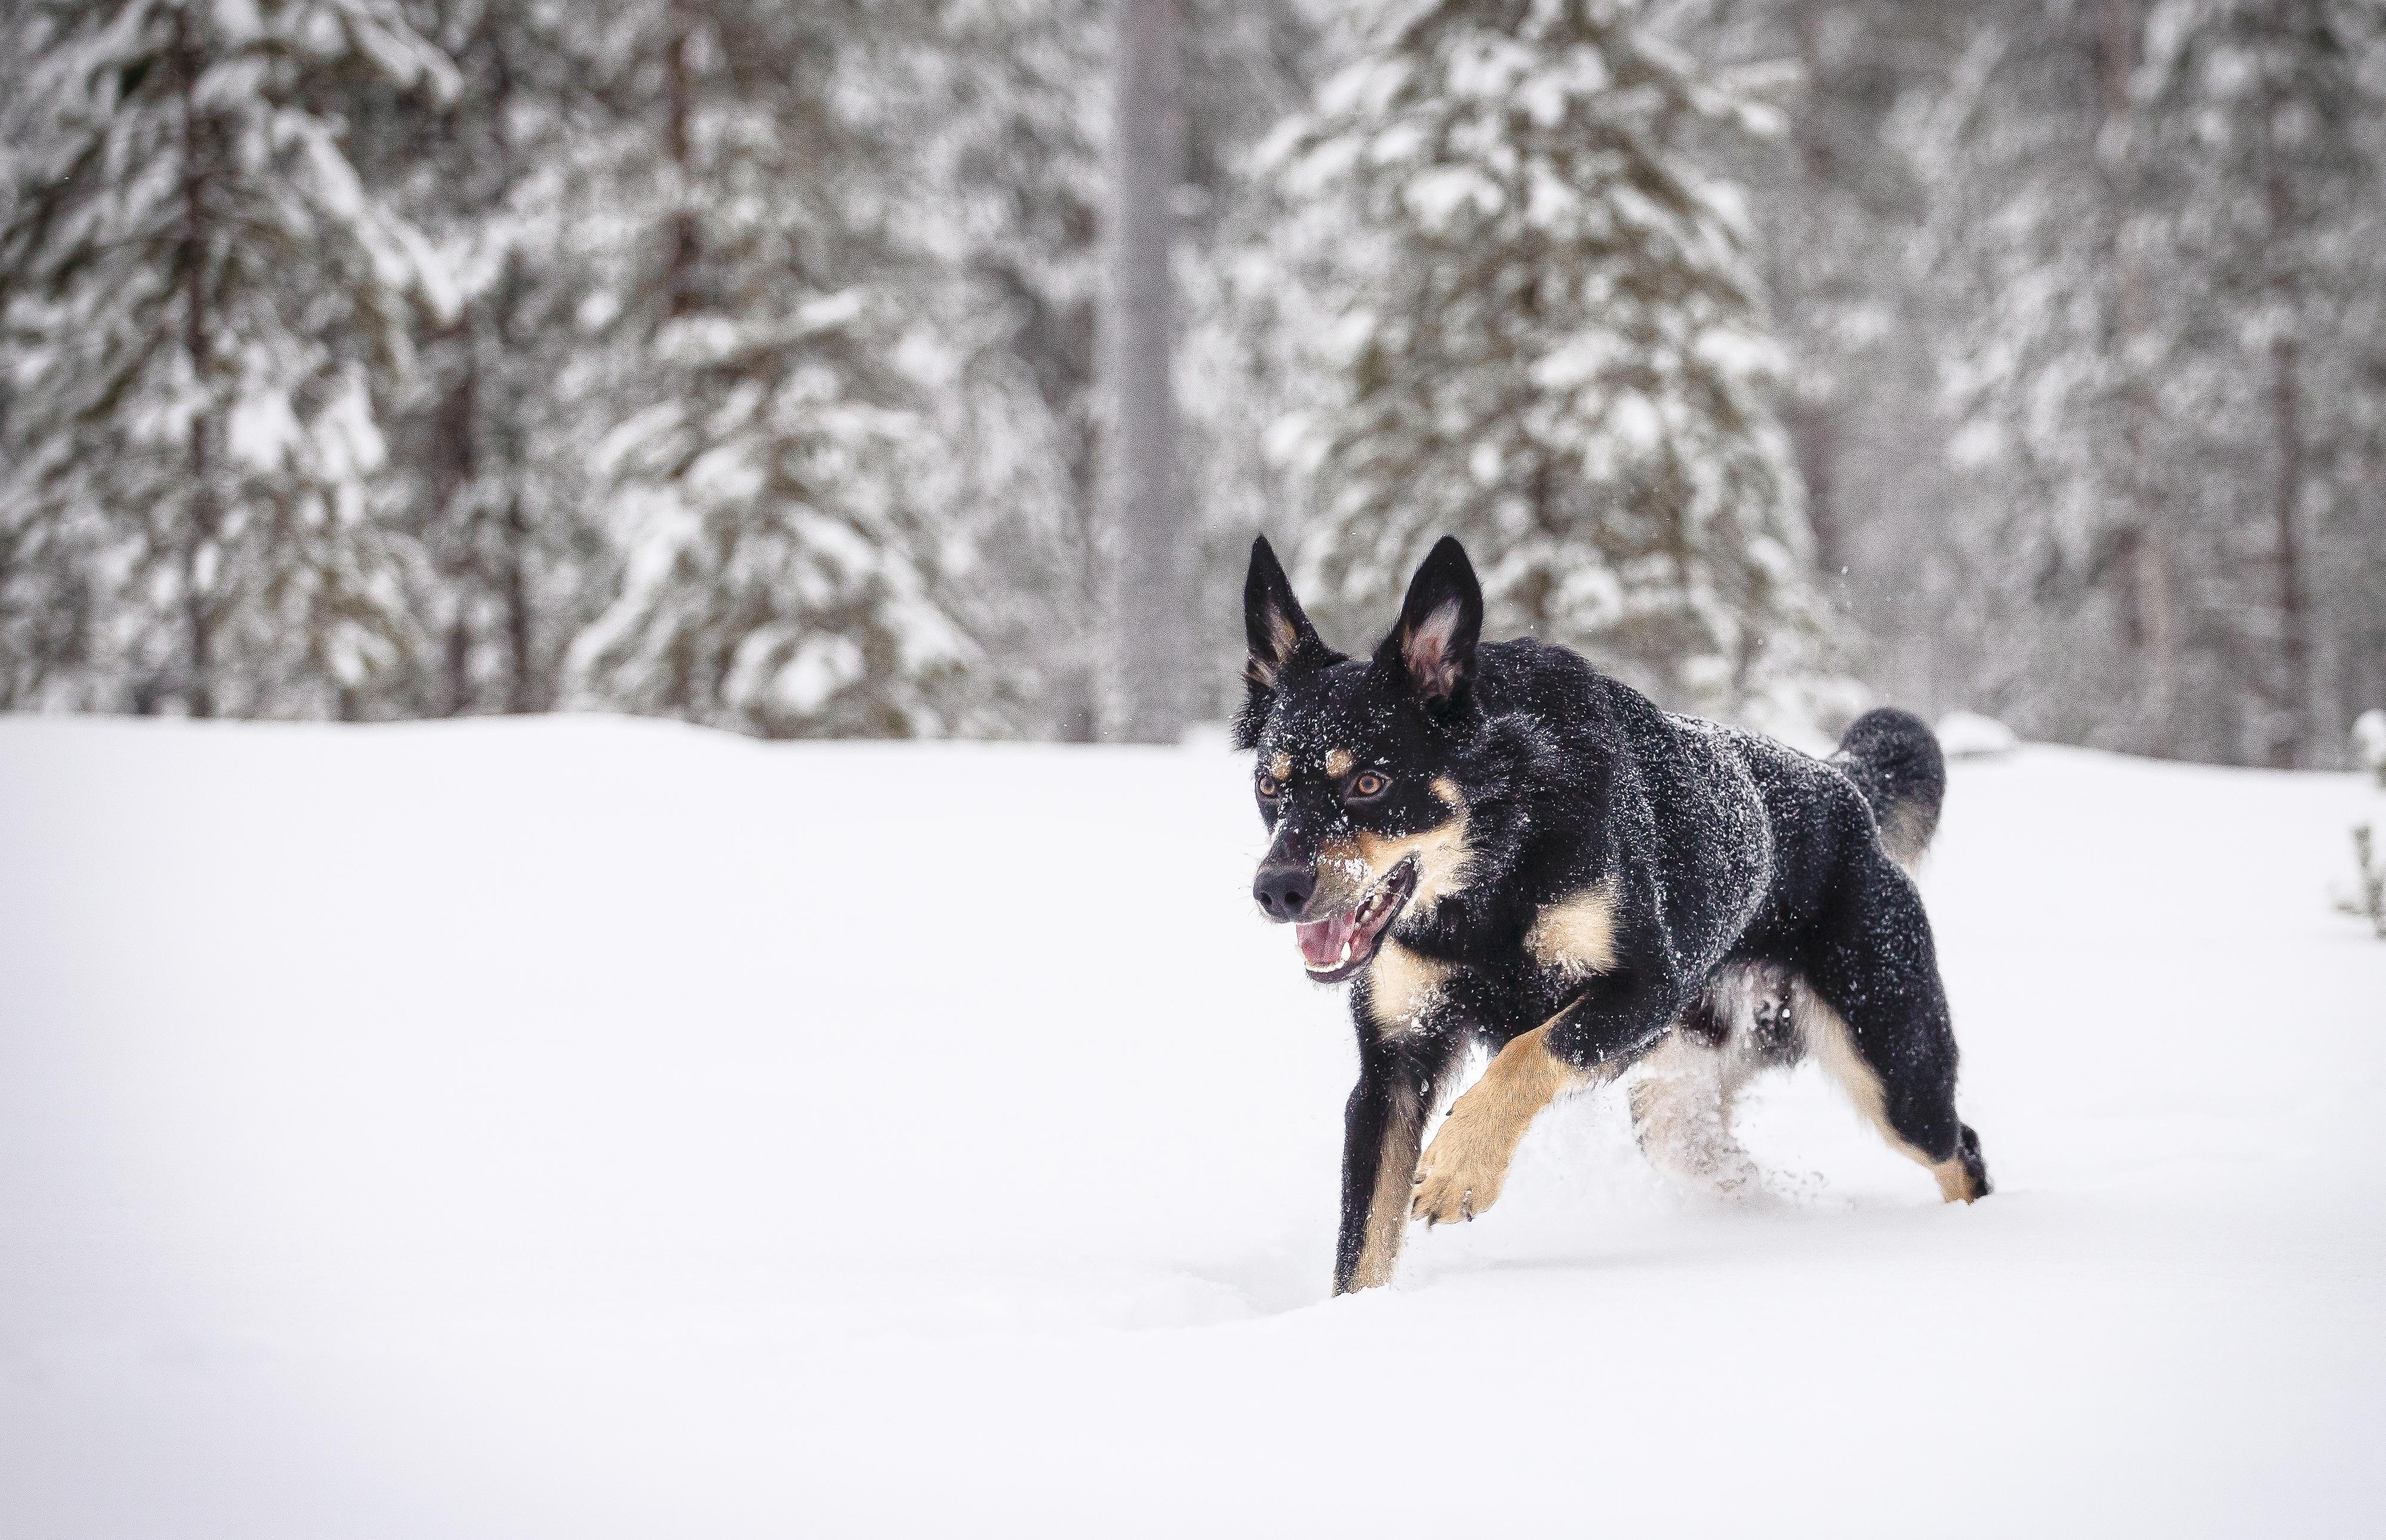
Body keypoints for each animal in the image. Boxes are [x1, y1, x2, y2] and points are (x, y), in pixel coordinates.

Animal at [1237, 535, 1990, 1295]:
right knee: (1714, 1157)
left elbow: (1526, 1052)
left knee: (1959, 1147)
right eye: (1269, 785)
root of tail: (1845, 784)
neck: (1497, 867)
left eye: (1370, 782)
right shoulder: (1393, 1065)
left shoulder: (1644, 988)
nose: (1275, 890)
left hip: (1893, 1066)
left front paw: (1462, 1164)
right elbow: (1363, 1241)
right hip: (1676, 1098)